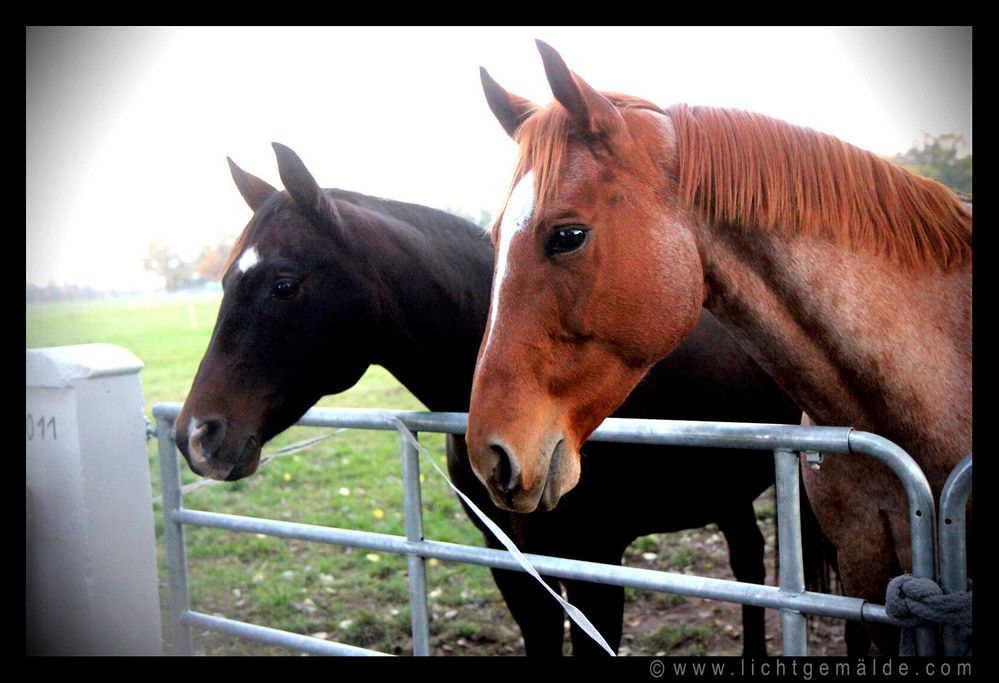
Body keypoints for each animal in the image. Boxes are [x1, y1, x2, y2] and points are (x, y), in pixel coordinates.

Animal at [176, 144, 820, 656]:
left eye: (284, 284)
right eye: (226, 280)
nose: (196, 435)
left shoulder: (595, 561)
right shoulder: (516, 564)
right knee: (749, 561)